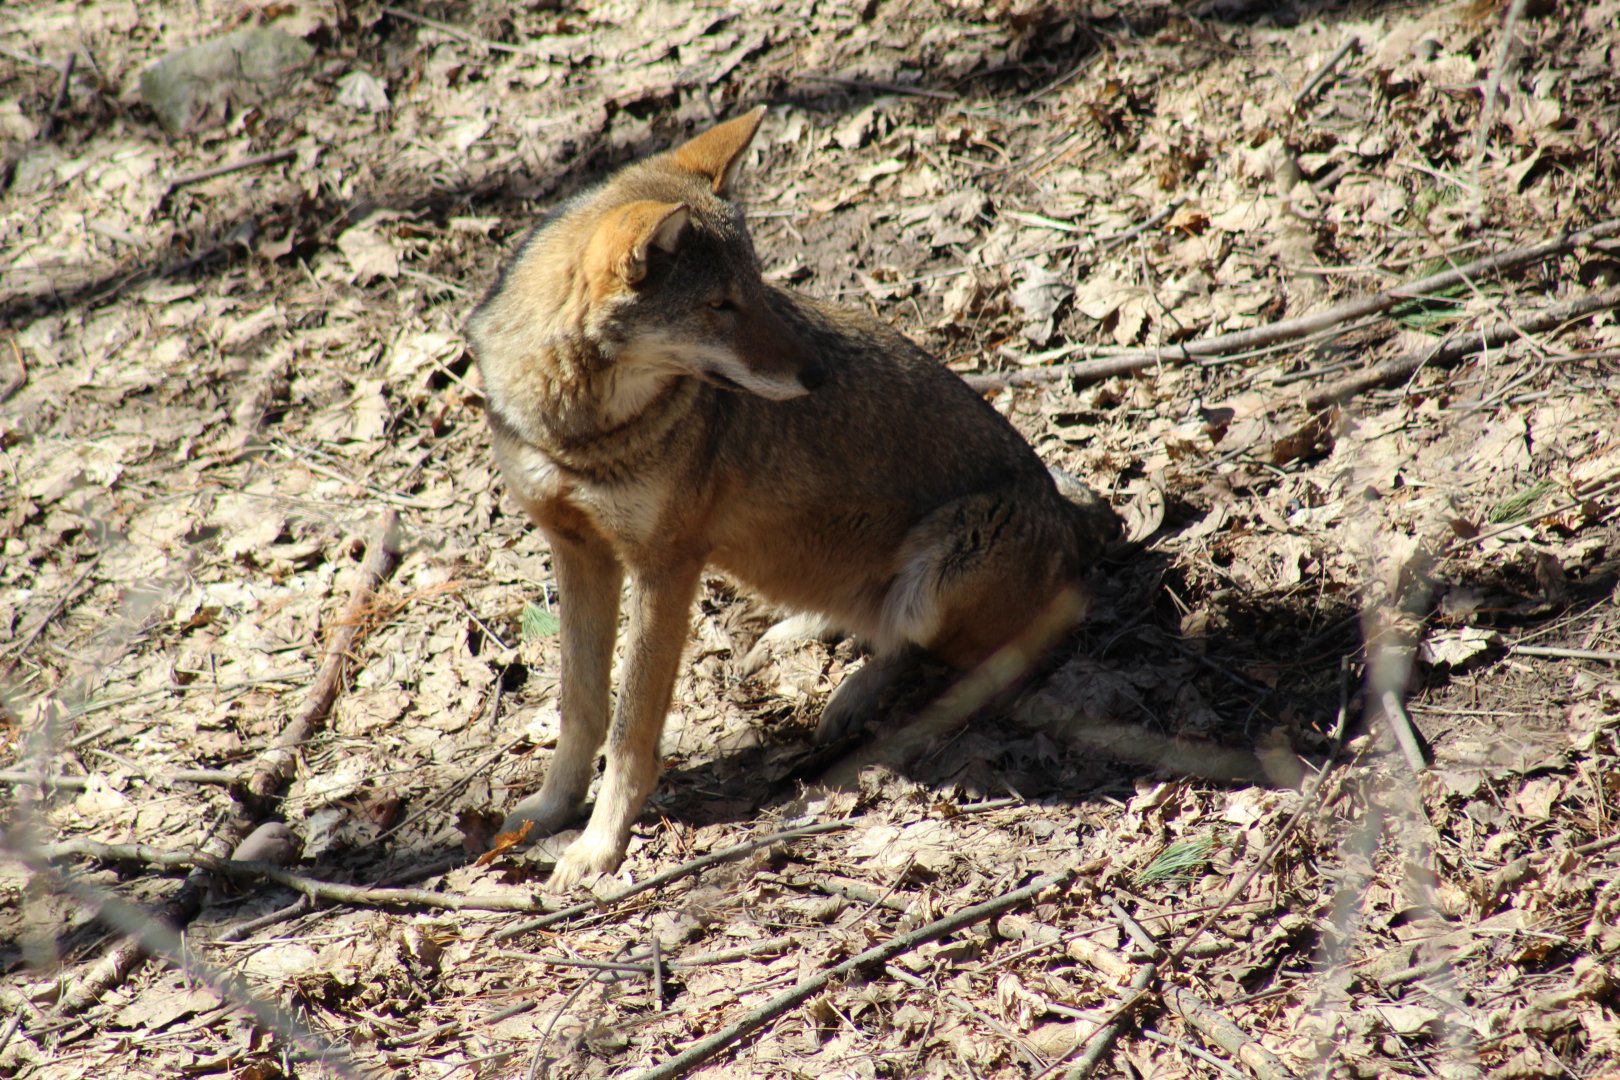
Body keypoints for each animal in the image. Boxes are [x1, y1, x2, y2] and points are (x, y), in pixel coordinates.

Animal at [465, 107, 1118, 887]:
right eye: (720, 305)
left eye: (758, 287)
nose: (818, 374)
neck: (580, 431)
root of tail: (1073, 521)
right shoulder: (578, 551)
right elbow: (581, 707)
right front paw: (550, 812)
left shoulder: (664, 568)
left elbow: (629, 731)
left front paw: (600, 845)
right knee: (876, 627)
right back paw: (802, 636)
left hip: (940, 576)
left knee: (948, 652)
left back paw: (858, 697)